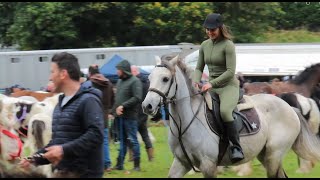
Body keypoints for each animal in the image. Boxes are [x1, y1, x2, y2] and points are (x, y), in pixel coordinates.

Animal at [142, 55, 320, 178]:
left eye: (165, 79)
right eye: (149, 78)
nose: (147, 106)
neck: (185, 123)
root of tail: (290, 108)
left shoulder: (208, 166)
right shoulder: (181, 163)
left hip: (273, 156)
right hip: (265, 155)